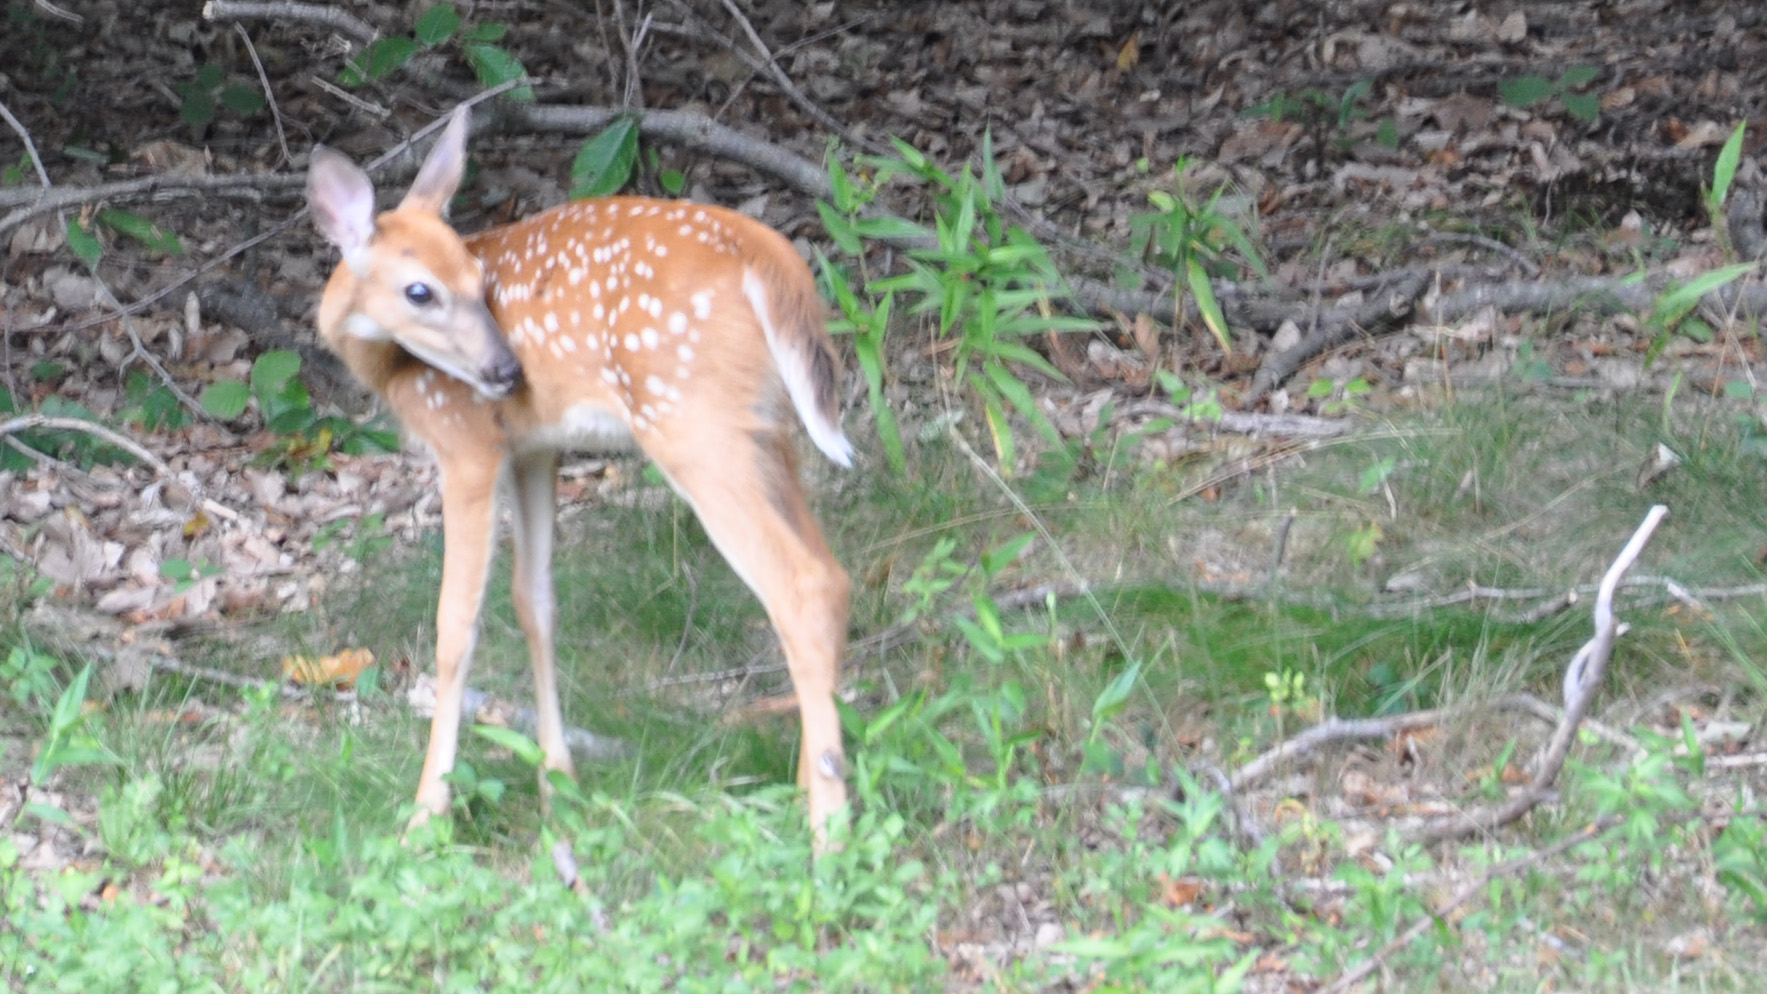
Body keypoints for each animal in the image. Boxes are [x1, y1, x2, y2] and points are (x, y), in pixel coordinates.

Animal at [304, 107, 852, 846]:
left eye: (478, 280)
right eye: (421, 289)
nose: (507, 372)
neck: (391, 369)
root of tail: (770, 256)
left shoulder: (468, 444)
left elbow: (456, 626)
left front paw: (426, 811)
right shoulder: (534, 449)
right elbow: (535, 602)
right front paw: (556, 783)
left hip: (691, 421)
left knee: (801, 584)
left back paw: (829, 830)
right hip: (768, 428)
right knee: (833, 574)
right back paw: (802, 787)